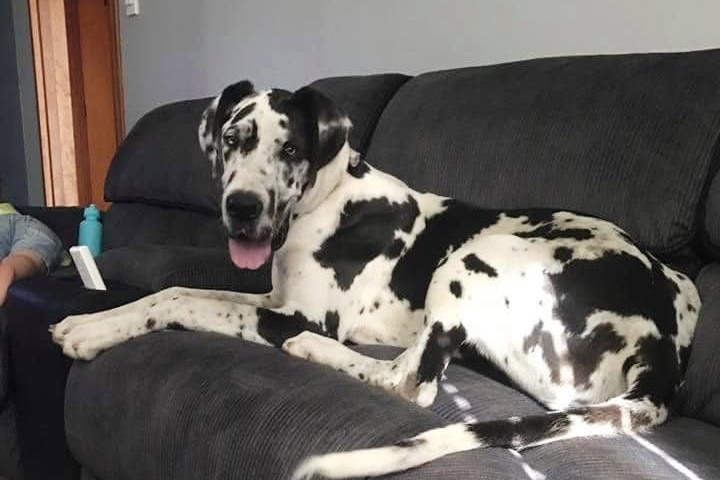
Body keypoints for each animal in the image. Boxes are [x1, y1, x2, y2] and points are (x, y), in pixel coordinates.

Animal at [53, 80, 700, 478]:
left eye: (291, 149)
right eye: (233, 140)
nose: (242, 207)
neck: (328, 199)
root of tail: (660, 345)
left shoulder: (296, 313)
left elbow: (182, 301)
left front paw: (91, 332)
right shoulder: (270, 295)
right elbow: (173, 289)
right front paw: (94, 318)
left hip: (475, 253)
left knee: (411, 383)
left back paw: (314, 351)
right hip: (680, 287)